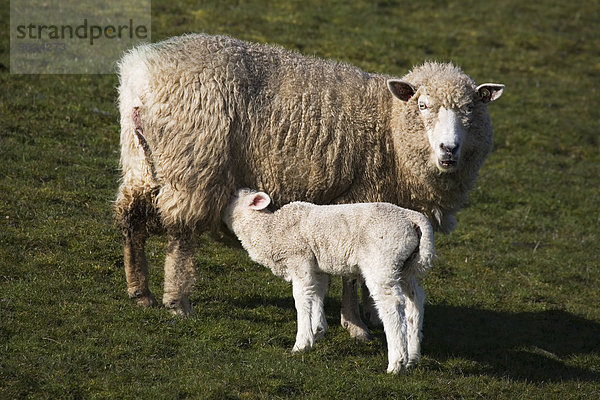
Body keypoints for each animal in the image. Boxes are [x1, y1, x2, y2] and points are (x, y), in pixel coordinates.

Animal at [115, 32, 504, 340]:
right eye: (422, 105)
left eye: (471, 109)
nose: (449, 149)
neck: (388, 128)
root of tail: (140, 73)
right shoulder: (358, 197)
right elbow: (352, 275)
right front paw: (355, 324)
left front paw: (368, 316)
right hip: (194, 164)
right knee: (181, 236)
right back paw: (177, 301)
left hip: (140, 162)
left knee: (131, 219)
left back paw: (139, 291)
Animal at [224, 189, 436, 374]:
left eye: (233, 196)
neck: (270, 229)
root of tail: (412, 218)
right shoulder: (316, 267)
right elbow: (317, 294)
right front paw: (317, 330)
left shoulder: (299, 260)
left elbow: (301, 298)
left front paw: (302, 343)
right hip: (406, 267)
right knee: (415, 301)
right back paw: (413, 357)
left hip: (382, 261)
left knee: (392, 304)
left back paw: (397, 363)